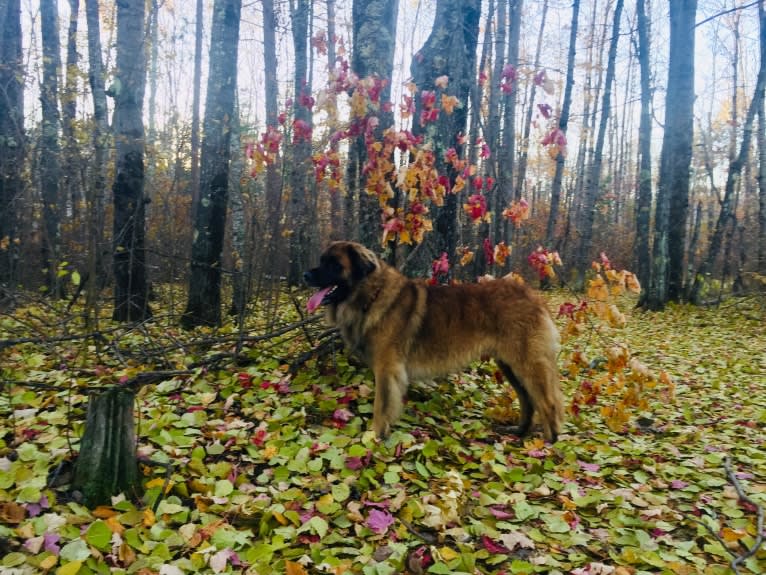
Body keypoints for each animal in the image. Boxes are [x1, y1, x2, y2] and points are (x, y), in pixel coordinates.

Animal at [304, 241, 564, 444]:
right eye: (322, 260)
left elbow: (381, 407)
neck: (371, 295)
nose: (306, 275)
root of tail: (532, 296)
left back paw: (547, 445)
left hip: (527, 364)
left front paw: (374, 438)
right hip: (509, 365)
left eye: (333, 264)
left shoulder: (386, 369)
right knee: (528, 399)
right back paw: (519, 433)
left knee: (547, 402)